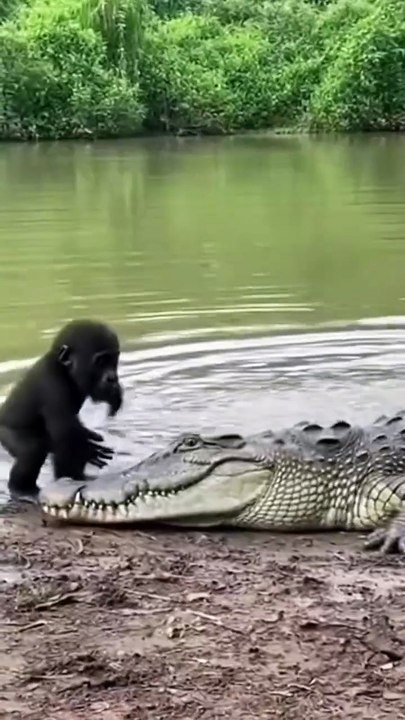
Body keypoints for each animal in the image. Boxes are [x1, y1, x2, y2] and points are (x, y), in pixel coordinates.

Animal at [0, 319, 124, 502]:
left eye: (114, 359)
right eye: (101, 361)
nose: (112, 378)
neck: (64, 369)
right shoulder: (53, 386)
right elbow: (65, 434)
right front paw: (70, 480)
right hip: (6, 433)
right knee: (33, 450)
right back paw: (22, 490)